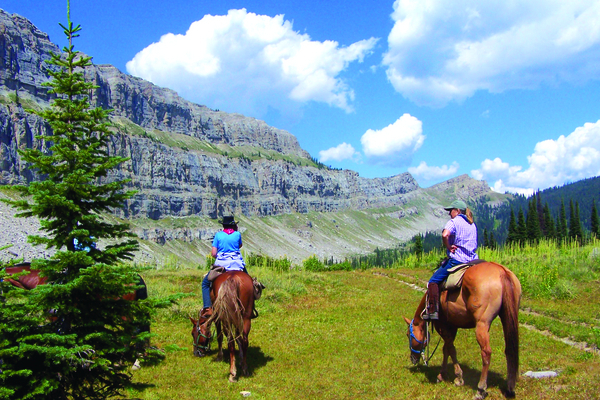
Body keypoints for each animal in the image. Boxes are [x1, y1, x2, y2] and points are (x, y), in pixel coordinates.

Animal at [404, 260, 520, 398]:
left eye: (408, 335)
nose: (413, 359)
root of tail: (502, 272)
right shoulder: (452, 325)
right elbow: (446, 349)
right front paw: (442, 375)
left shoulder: (442, 325)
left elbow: (451, 349)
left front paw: (458, 378)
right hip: (507, 316)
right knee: (509, 350)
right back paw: (509, 388)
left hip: (482, 324)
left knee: (486, 352)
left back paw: (481, 389)